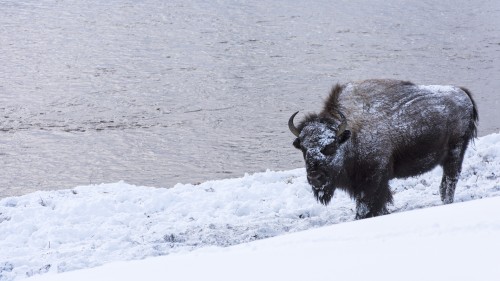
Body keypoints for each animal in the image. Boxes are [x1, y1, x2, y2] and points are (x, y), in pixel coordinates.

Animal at [292, 79, 478, 219]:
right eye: (303, 148)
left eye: (330, 146)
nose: (314, 177)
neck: (351, 134)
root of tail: (463, 93)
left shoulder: (373, 181)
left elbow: (368, 206)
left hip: (455, 153)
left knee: (450, 181)